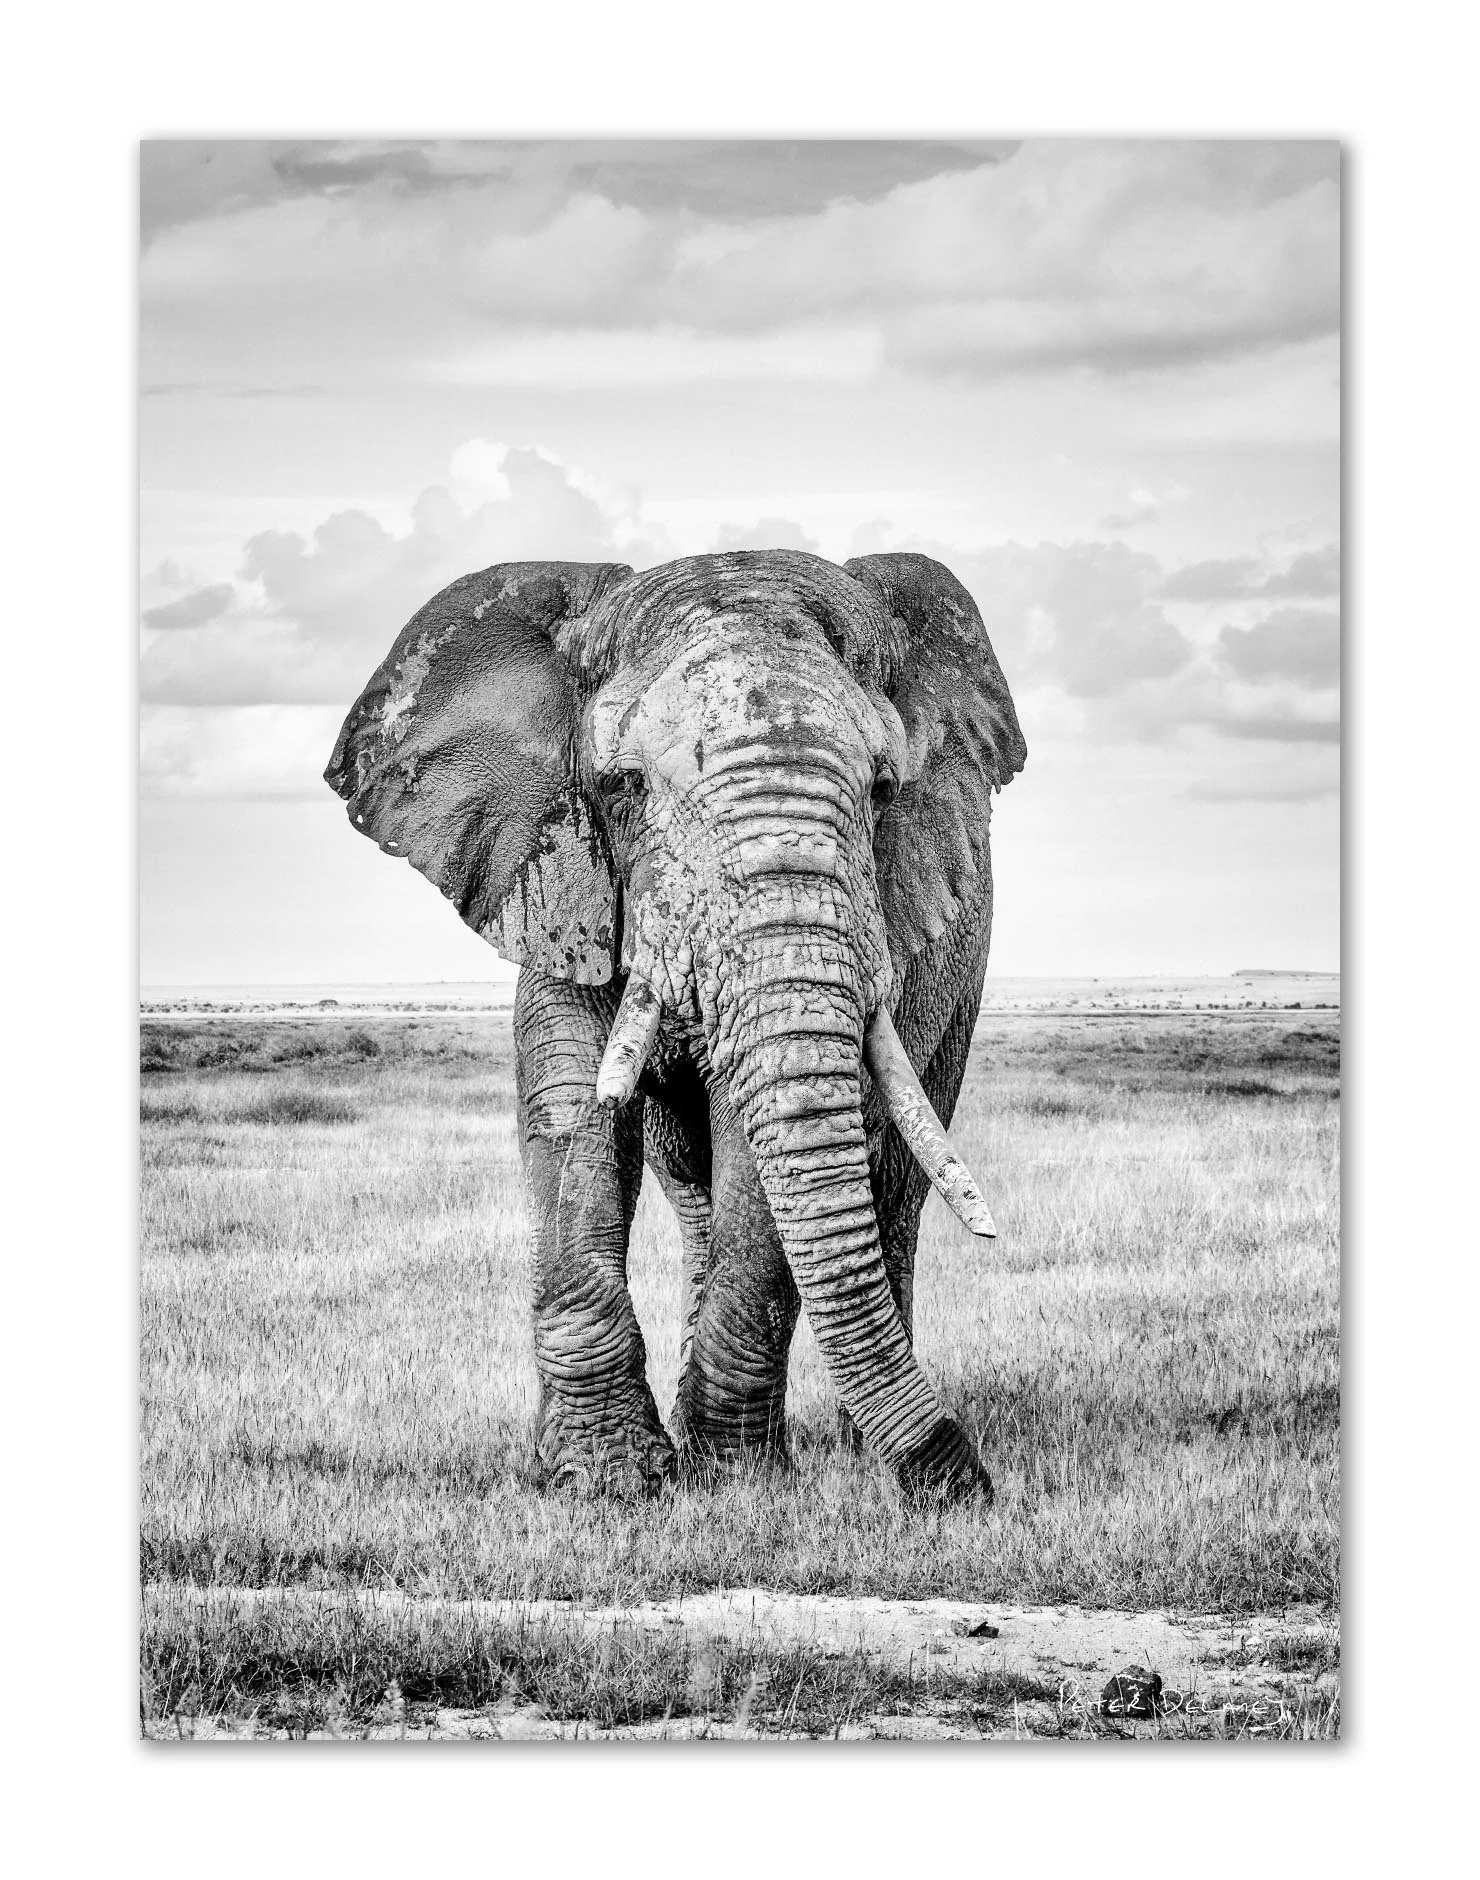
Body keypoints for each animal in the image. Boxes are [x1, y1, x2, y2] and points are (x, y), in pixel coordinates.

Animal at [324, 549, 1026, 1502]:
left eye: (884, 790)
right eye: (623, 787)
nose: (969, 1481)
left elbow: (758, 1151)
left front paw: (736, 1481)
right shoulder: (561, 881)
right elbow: (573, 1121)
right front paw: (607, 1480)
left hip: (957, 989)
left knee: (894, 1186)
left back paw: (848, 1451)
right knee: (693, 1187)